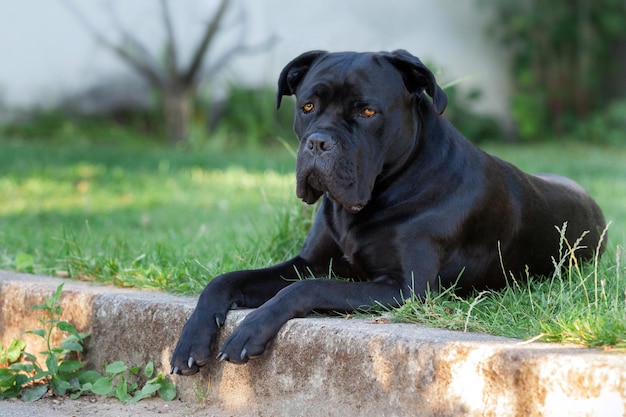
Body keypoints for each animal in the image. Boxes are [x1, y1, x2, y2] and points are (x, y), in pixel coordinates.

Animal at [168, 49, 604, 374]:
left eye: (367, 113)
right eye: (307, 106)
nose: (318, 143)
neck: (378, 195)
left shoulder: (404, 288)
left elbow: (309, 287)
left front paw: (251, 329)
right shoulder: (308, 261)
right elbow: (225, 280)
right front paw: (190, 339)